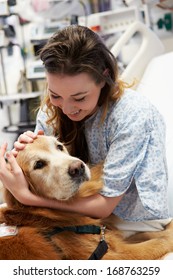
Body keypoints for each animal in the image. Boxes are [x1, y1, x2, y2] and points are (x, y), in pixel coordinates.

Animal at [0, 135, 173, 260]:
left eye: (59, 146)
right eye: (39, 164)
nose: (78, 168)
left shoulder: (111, 239)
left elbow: (146, 234)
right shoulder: (114, 255)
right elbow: (160, 241)